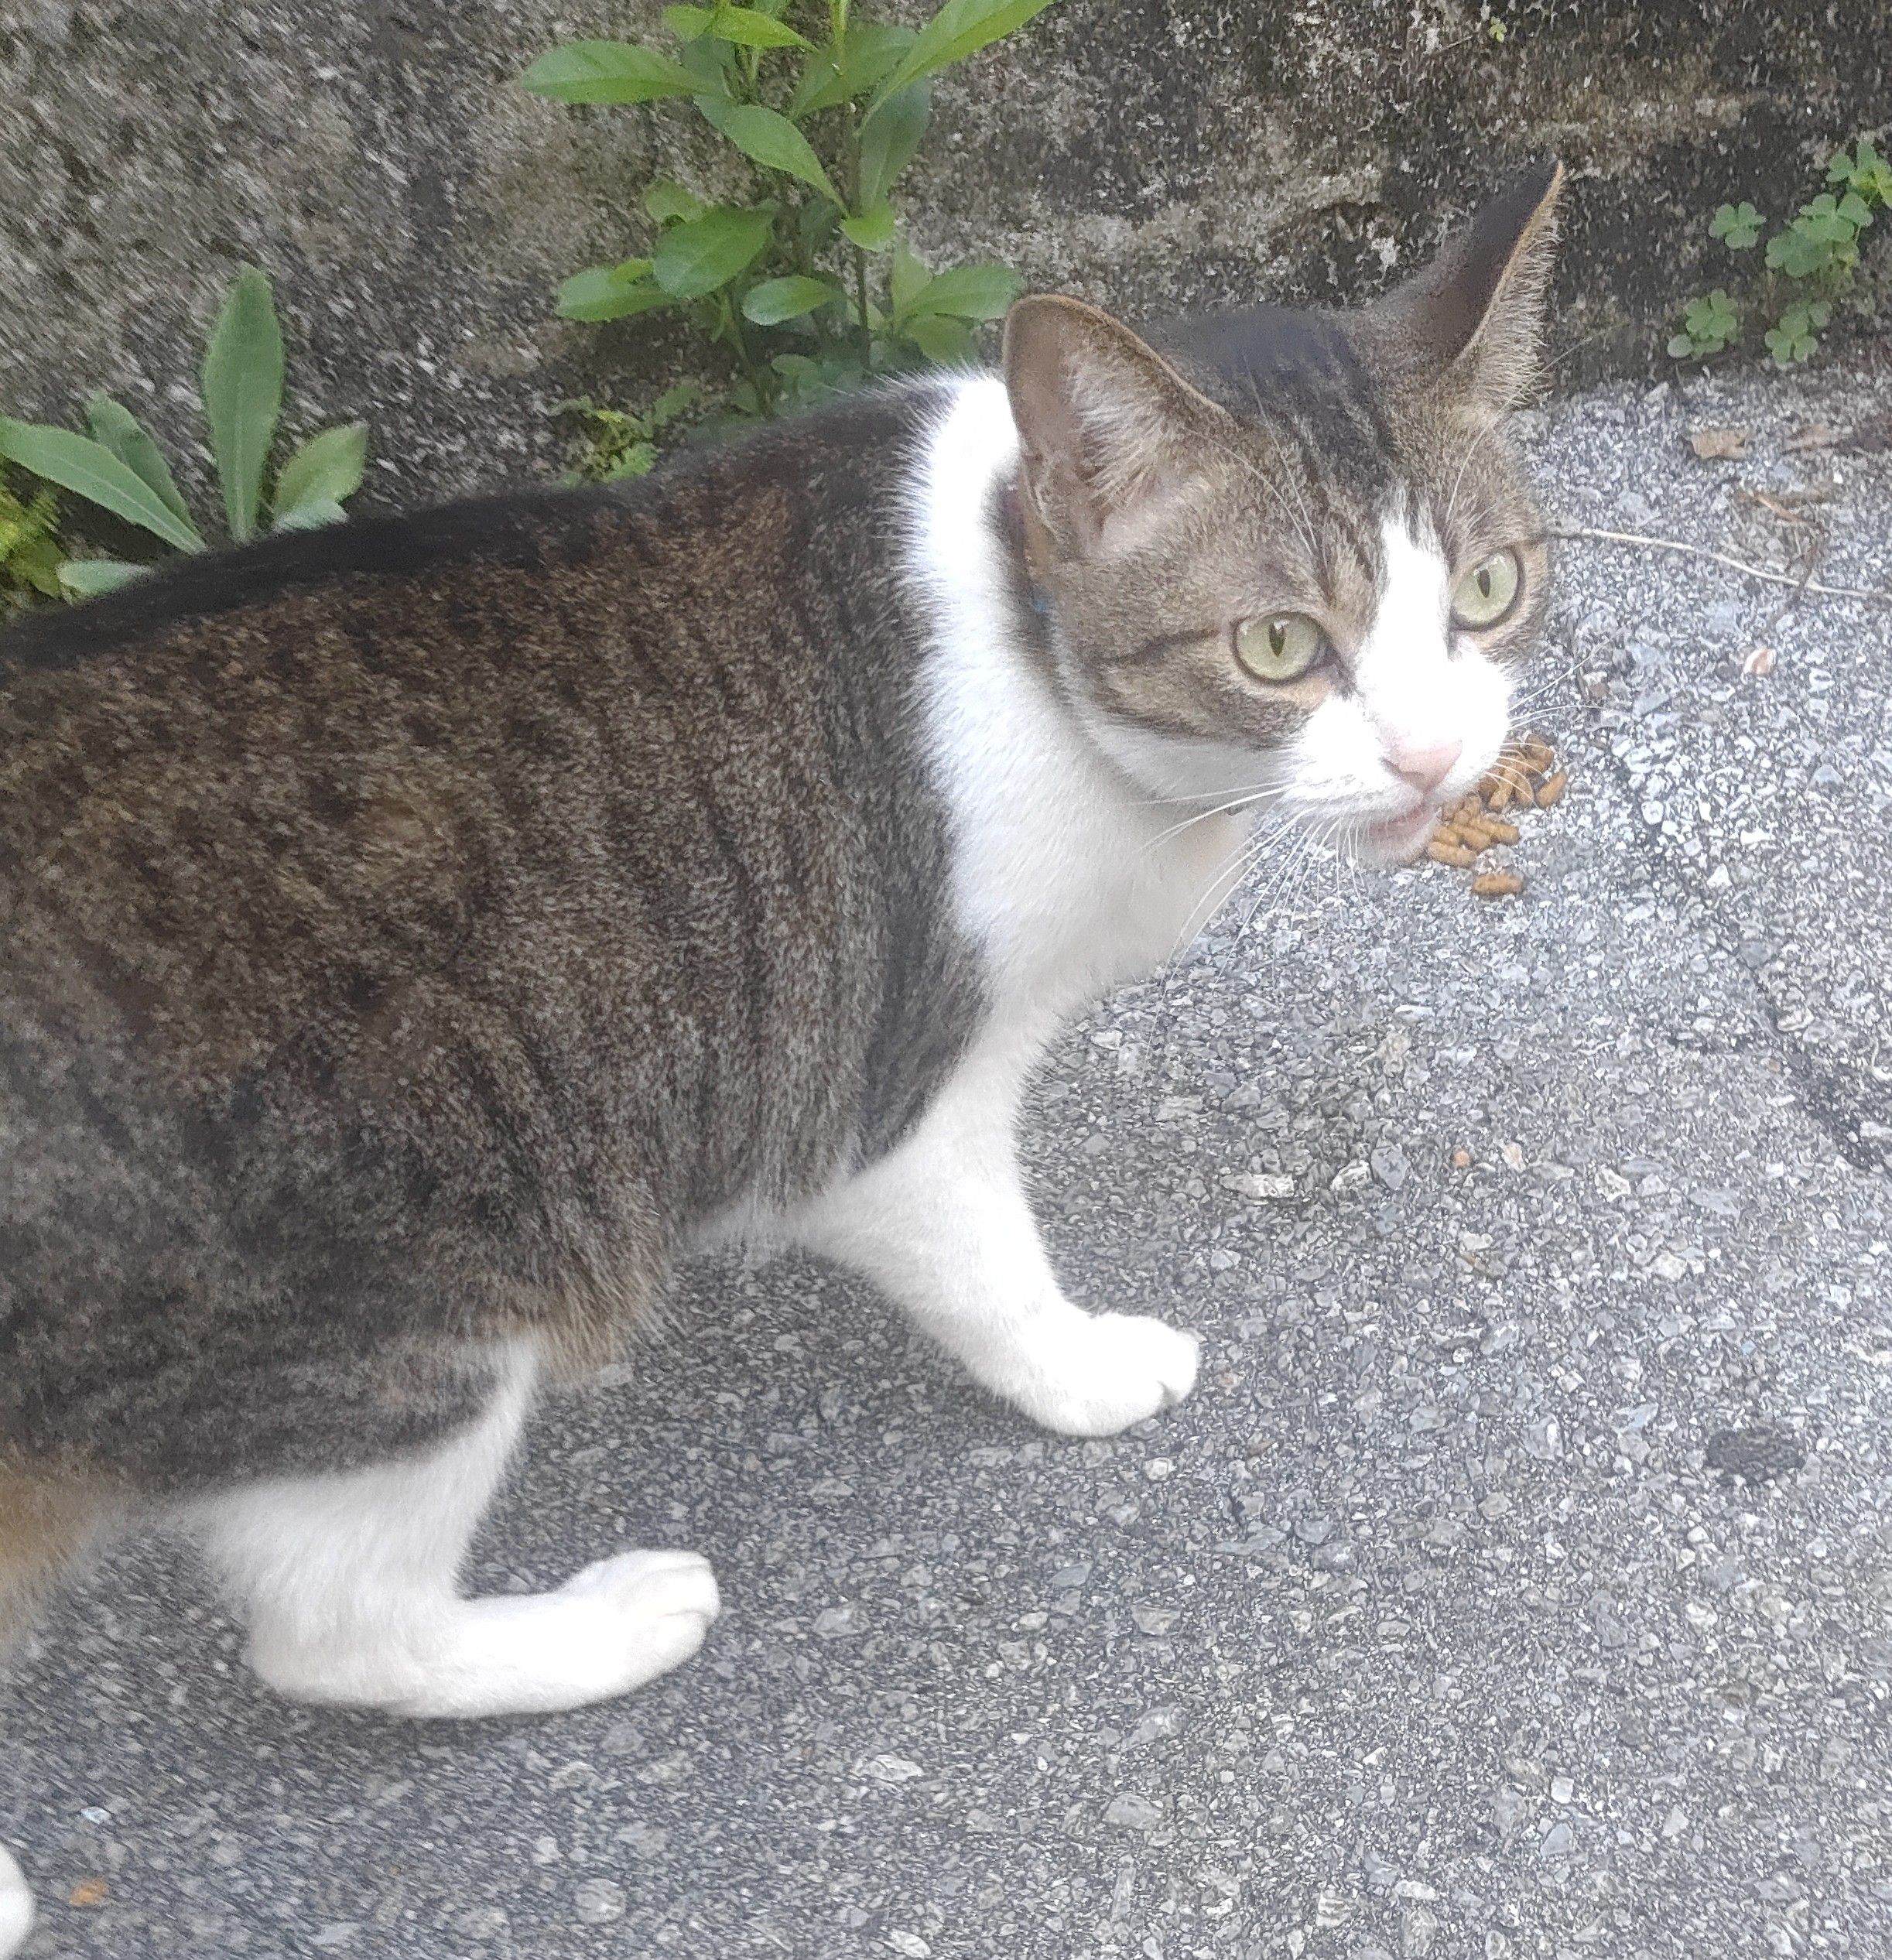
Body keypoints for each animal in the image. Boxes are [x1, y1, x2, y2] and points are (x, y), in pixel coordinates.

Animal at [0, 160, 1560, 1950]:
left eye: (1491, 593)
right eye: (1281, 647)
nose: (1436, 760)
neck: (1024, 631)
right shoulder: (883, 1109)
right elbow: (993, 1271)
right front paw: (1089, 1369)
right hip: (419, 1301)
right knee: (334, 1625)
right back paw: (599, 1624)